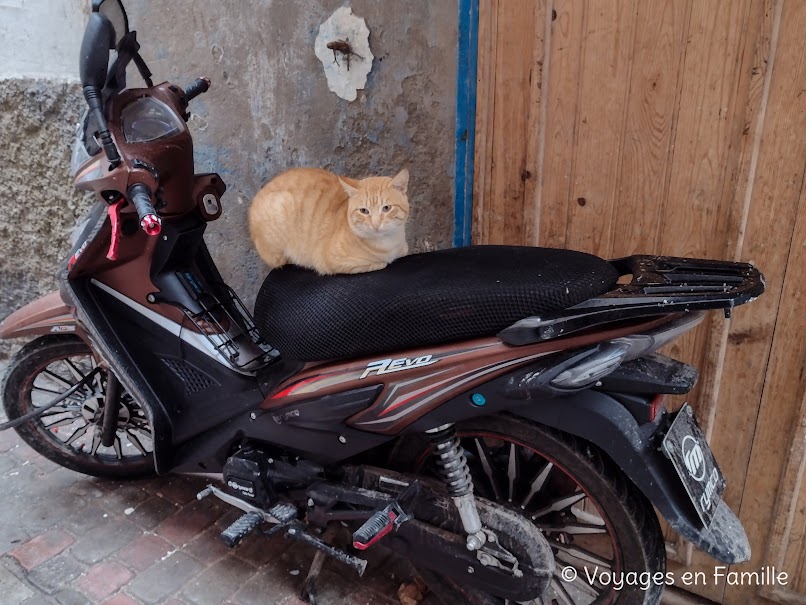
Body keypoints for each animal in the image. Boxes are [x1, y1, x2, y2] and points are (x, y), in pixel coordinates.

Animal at [246, 168, 410, 276]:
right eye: (364, 211)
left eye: (386, 208)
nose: (375, 224)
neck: (389, 243)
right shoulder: (331, 262)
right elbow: (379, 264)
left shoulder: (403, 248)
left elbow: (404, 251)